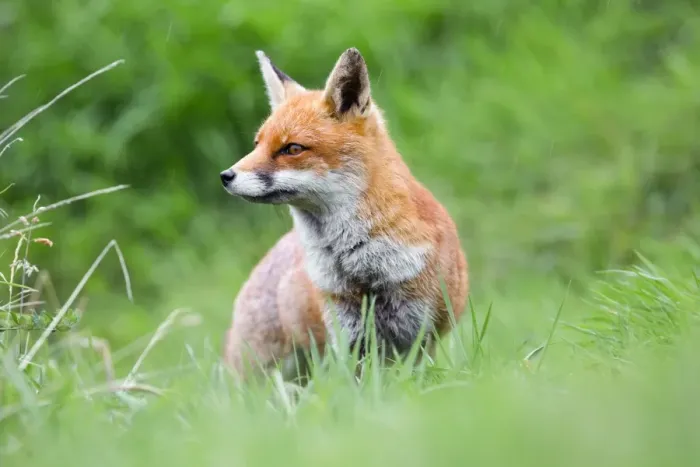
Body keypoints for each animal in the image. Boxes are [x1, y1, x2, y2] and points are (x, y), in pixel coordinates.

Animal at [220, 48, 469, 379]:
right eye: (256, 145)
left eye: (292, 149)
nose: (226, 176)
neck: (361, 272)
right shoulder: (345, 336)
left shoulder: (419, 337)